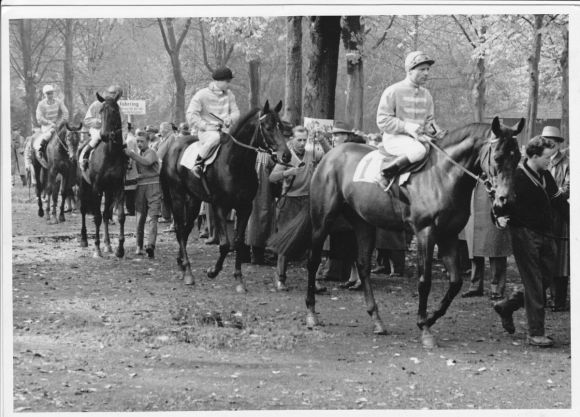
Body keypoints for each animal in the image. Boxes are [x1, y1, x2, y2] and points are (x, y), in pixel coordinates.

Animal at [77, 92, 126, 256]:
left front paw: (119, 249)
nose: (104, 135)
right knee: (83, 210)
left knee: (106, 214)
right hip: (83, 186)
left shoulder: (118, 186)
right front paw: (97, 249)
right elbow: (97, 217)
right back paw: (84, 240)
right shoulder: (96, 188)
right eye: (100, 111)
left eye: (115, 111)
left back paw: (108, 244)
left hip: (108, 190)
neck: (110, 154)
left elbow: (120, 216)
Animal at [161, 99, 290, 290]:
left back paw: (182, 265)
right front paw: (212, 271)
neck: (236, 163)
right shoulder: (221, 206)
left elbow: (238, 242)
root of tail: (173, 147)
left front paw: (239, 279)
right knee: (179, 228)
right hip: (177, 196)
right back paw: (188, 272)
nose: (286, 156)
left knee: (186, 229)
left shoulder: (245, 208)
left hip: (194, 200)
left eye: (281, 126)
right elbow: (225, 244)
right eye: (268, 127)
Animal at [270, 115, 524, 346]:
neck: (442, 175)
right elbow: (425, 280)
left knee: (362, 265)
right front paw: (424, 327)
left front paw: (430, 318)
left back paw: (377, 319)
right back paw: (311, 314)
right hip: (323, 220)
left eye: (519, 158)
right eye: (498, 157)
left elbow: (455, 282)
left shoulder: (449, 235)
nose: (506, 201)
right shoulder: (426, 233)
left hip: (363, 223)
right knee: (313, 261)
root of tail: (328, 156)